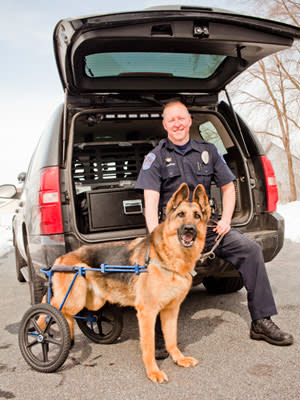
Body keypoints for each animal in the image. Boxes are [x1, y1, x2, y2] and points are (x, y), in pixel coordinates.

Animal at [45, 183, 210, 382]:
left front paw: (179, 359)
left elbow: (172, 339)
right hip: (73, 298)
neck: (169, 259)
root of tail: (61, 258)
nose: (189, 229)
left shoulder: (171, 310)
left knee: (76, 315)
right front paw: (153, 372)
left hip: (91, 301)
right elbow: (149, 346)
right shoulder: (147, 313)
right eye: (181, 215)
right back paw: (41, 334)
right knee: (49, 308)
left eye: (197, 216)